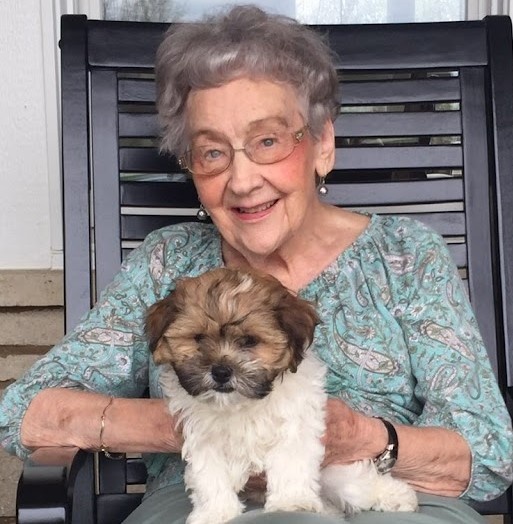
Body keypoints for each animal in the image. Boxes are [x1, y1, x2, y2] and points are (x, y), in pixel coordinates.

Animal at [146, 268, 417, 524]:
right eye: (199, 338)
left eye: (249, 340)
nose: (221, 372)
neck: (241, 405)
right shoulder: (204, 437)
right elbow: (210, 475)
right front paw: (216, 512)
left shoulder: (296, 425)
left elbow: (291, 463)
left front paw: (292, 502)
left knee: (356, 484)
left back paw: (397, 496)